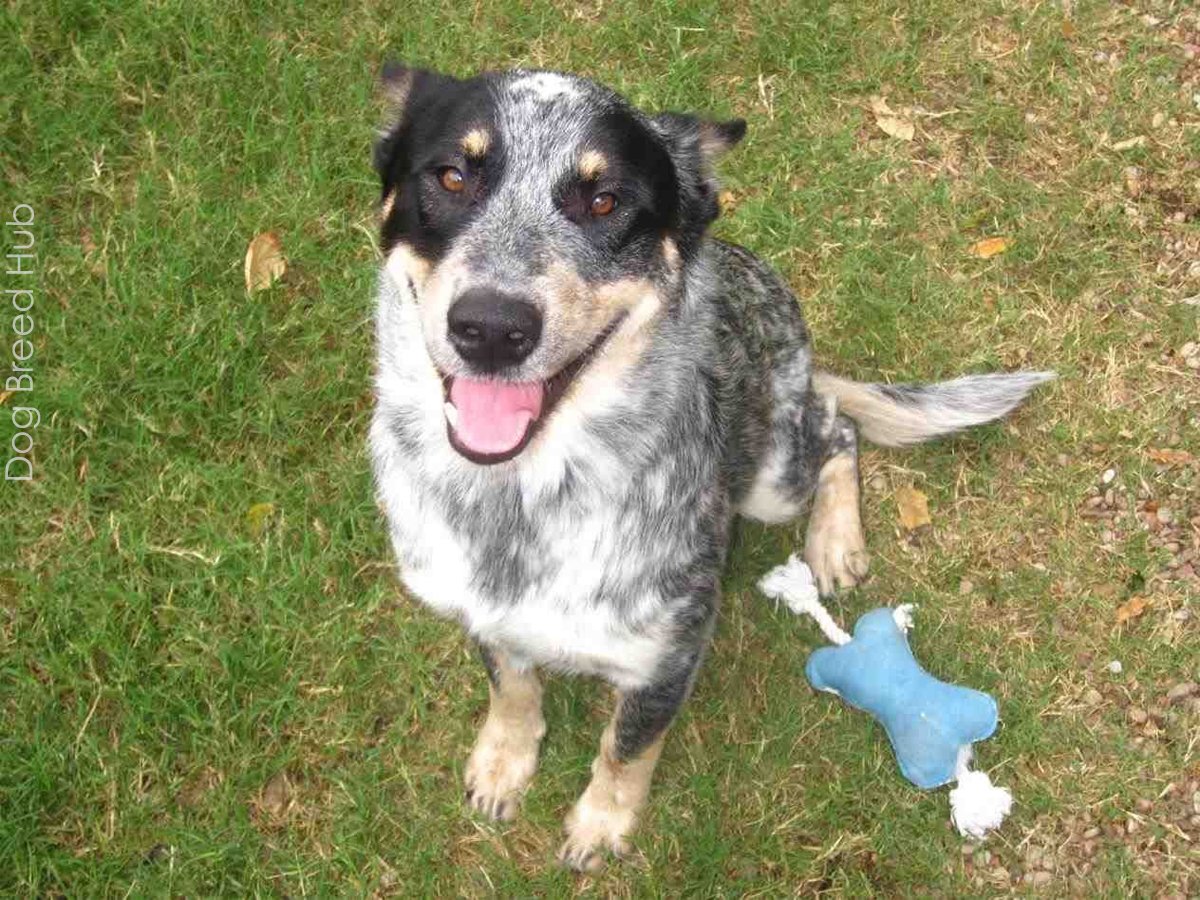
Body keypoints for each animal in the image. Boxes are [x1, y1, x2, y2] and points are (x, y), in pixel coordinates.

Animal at [364, 65, 1051, 873]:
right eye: (450, 176)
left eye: (605, 200)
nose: (492, 328)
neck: (518, 503)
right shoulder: (481, 611)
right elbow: (512, 687)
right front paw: (504, 762)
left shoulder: (668, 655)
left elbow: (625, 749)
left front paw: (602, 824)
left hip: (772, 477)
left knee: (837, 428)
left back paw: (835, 540)